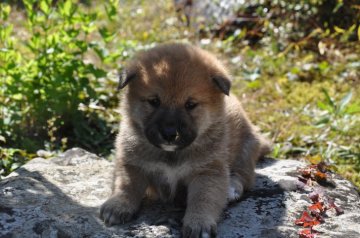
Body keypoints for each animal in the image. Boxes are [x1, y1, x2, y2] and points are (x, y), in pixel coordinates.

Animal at [100, 43, 272, 237]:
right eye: (154, 101)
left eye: (190, 104)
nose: (169, 134)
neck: (171, 155)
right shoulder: (131, 163)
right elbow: (126, 185)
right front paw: (118, 205)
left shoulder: (208, 171)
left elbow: (203, 199)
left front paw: (199, 223)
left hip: (245, 149)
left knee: (244, 176)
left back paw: (231, 188)